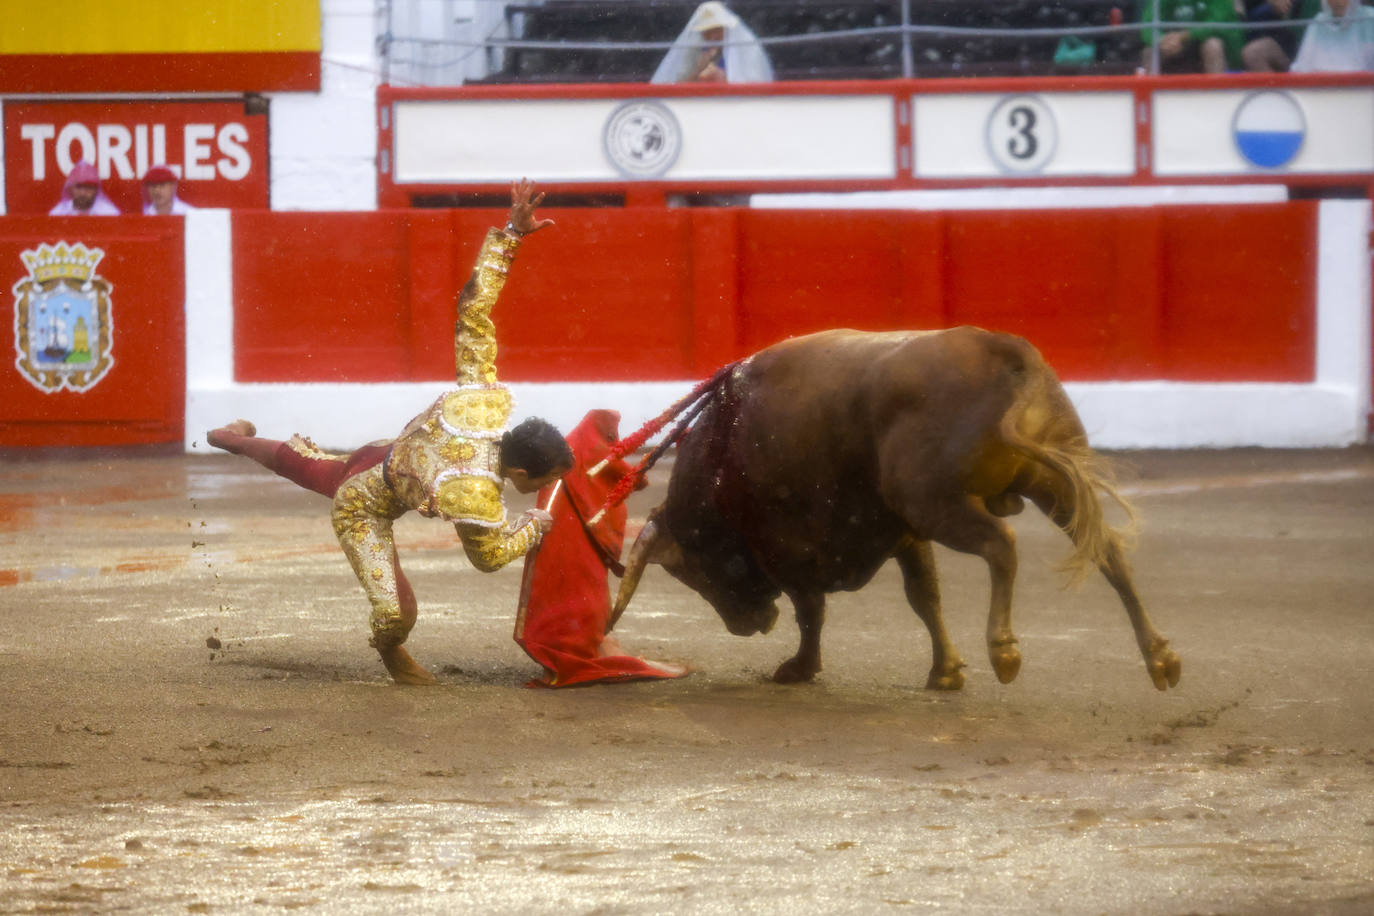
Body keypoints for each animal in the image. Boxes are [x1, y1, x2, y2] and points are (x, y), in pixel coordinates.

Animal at [612, 325, 1181, 692]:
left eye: (693, 573)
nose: (746, 626)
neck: (725, 444)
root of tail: (1002, 349)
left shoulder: (792, 550)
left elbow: (811, 611)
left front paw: (799, 668)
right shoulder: (905, 533)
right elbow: (924, 597)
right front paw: (945, 672)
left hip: (937, 502)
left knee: (1002, 545)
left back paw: (1004, 650)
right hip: (1049, 480)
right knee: (1106, 549)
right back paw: (1160, 658)